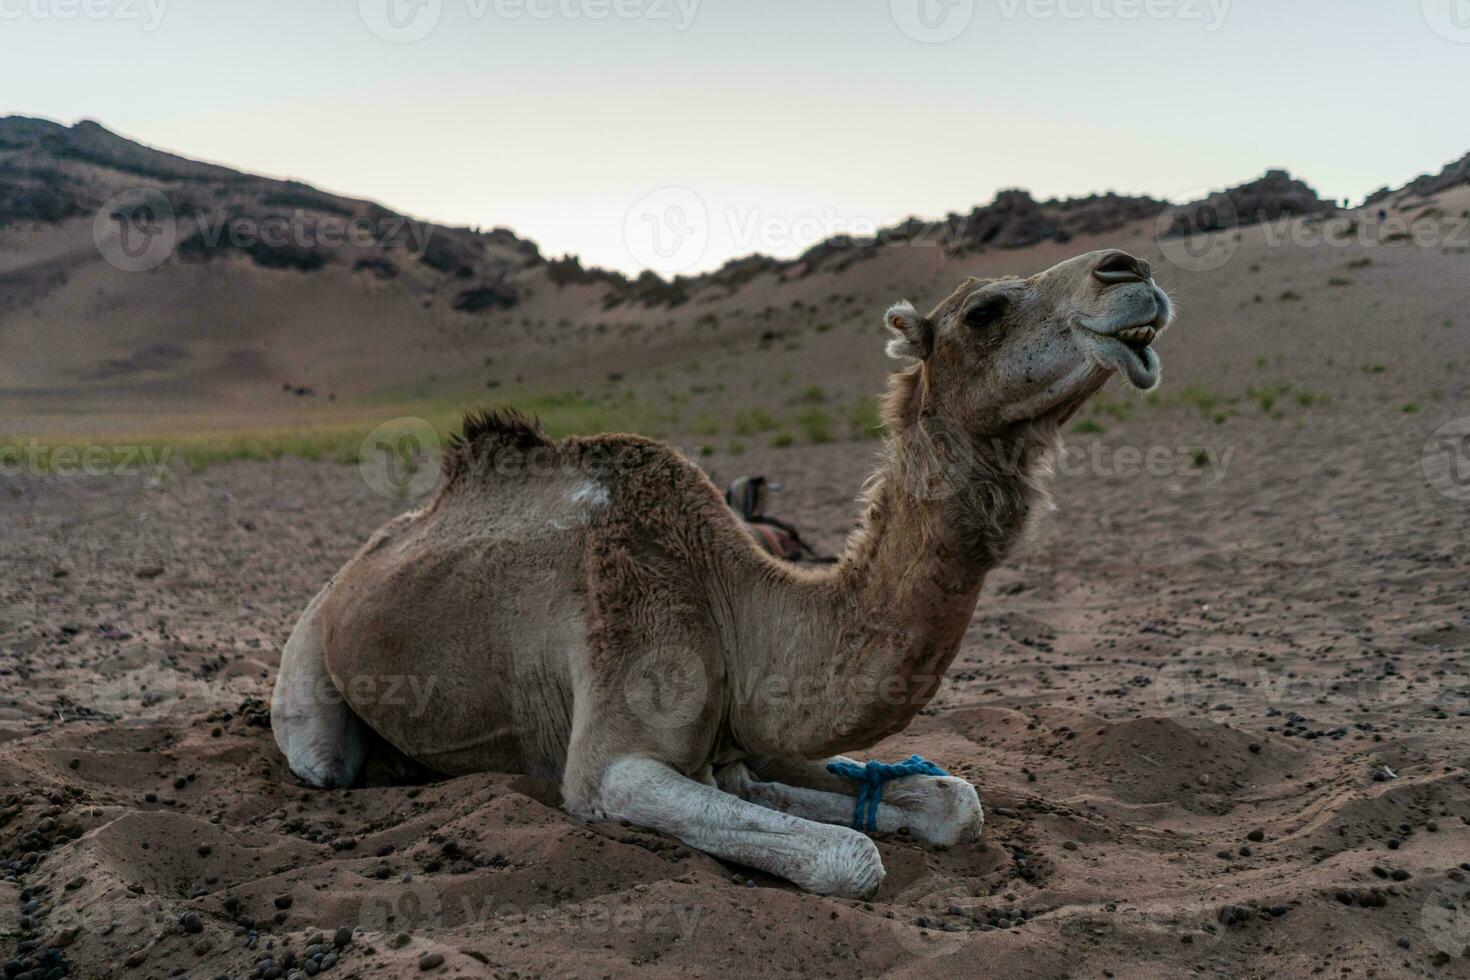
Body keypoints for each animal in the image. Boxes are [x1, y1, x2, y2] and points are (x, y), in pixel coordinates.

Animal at [270, 246, 1176, 899]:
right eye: (985, 310)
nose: (1130, 270)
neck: (735, 597)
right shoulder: (609, 763)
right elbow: (849, 857)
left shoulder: (742, 737)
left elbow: (954, 800)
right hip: (307, 667)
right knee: (322, 759)